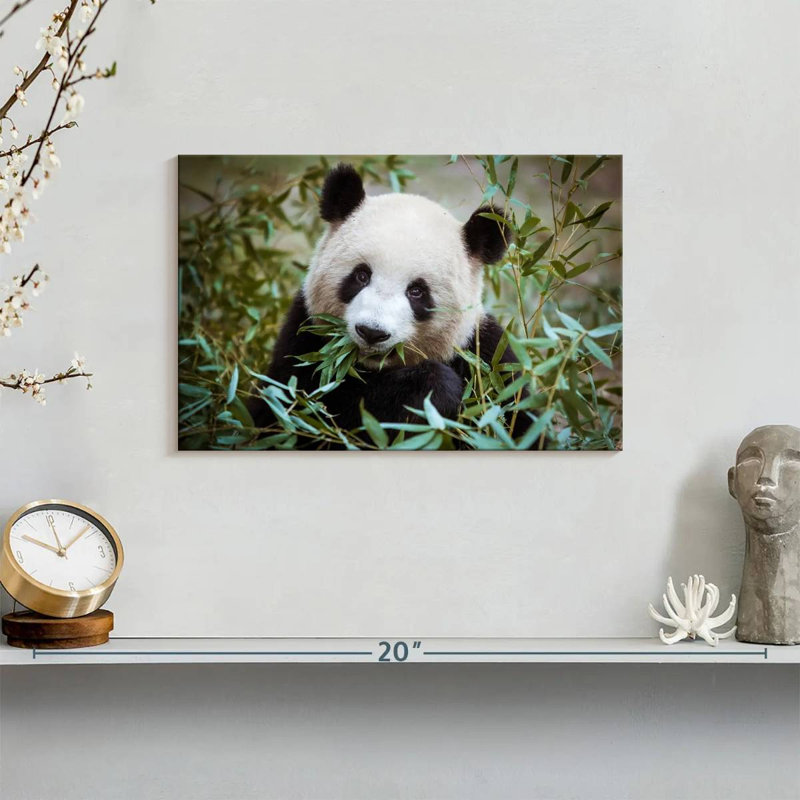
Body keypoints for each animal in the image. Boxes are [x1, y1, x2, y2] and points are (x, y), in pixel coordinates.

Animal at [252, 163, 534, 443]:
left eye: (417, 291)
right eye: (361, 275)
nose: (372, 332)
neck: (373, 368)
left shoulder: (488, 359)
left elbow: (518, 421)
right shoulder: (305, 340)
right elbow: (304, 414)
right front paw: (433, 389)